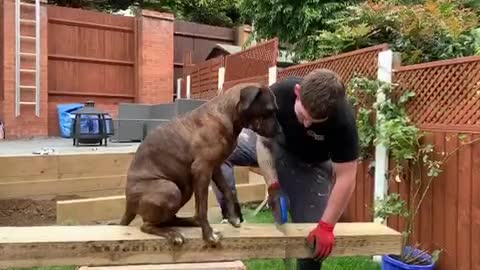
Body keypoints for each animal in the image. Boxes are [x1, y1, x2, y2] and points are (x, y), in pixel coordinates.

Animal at [118, 82, 282, 247]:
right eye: (270, 110)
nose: (280, 131)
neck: (227, 115)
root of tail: (128, 204)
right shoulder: (202, 169)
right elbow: (203, 208)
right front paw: (209, 236)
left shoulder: (215, 167)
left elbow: (228, 191)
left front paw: (233, 218)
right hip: (171, 189)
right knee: (147, 225)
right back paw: (173, 234)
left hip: (185, 189)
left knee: (170, 219)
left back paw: (190, 223)